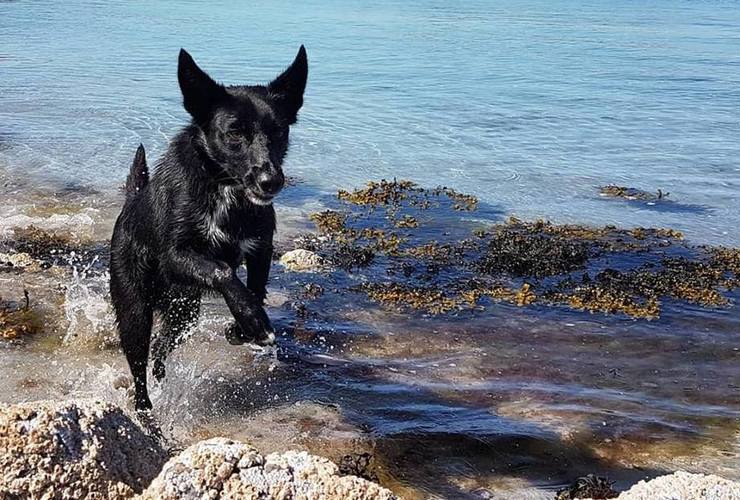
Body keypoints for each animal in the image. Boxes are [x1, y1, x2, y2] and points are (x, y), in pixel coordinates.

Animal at [109, 46, 306, 410]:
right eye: (234, 133)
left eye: (279, 131)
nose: (270, 181)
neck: (225, 189)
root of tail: (130, 205)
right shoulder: (176, 255)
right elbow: (223, 271)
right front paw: (253, 320)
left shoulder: (261, 249)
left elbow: (255, 287)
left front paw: (240, 328)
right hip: (134, 311)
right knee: (139, 365)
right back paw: (145, 410)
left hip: (184, 311)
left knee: (160, 347)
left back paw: (162, 376)